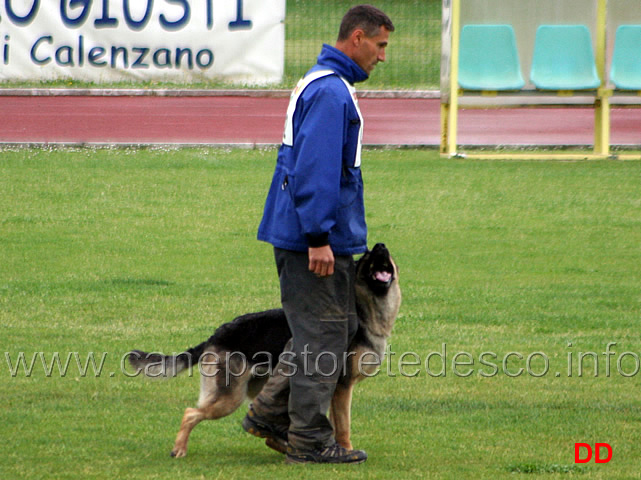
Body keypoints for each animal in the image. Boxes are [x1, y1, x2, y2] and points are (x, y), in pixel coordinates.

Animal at [129, 244, 400, 458]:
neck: (366, 311)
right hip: (230, 397)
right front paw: (346, 450)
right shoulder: (342, 388)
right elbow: (343, 425)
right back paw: (179, 449)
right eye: (367, 256)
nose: (380, 245)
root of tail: (216, 335)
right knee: (190, 413)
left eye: (382, 253)